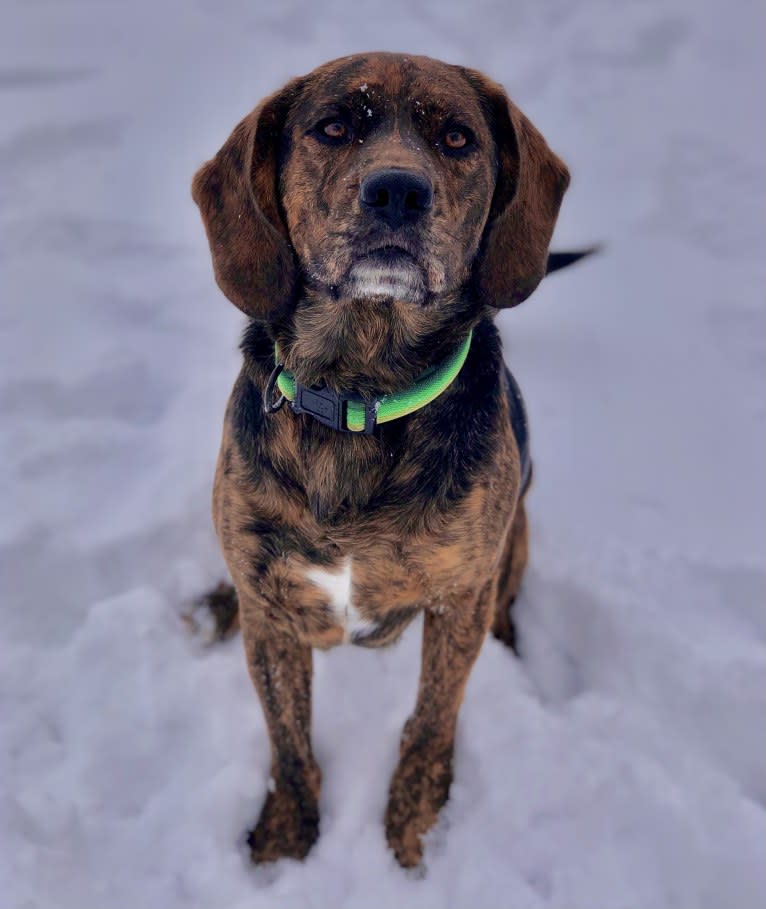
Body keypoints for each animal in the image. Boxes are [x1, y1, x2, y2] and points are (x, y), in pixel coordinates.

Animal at [192, 51, 576, 864]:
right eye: (334, 128)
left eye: (457, 138)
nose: (398, 190)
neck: (360, 394)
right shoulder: (274, 617)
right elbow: (287, 737)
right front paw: (287, 835)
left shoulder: (458, 599)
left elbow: (430, 723)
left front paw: (414, 824)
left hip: (510, 546)